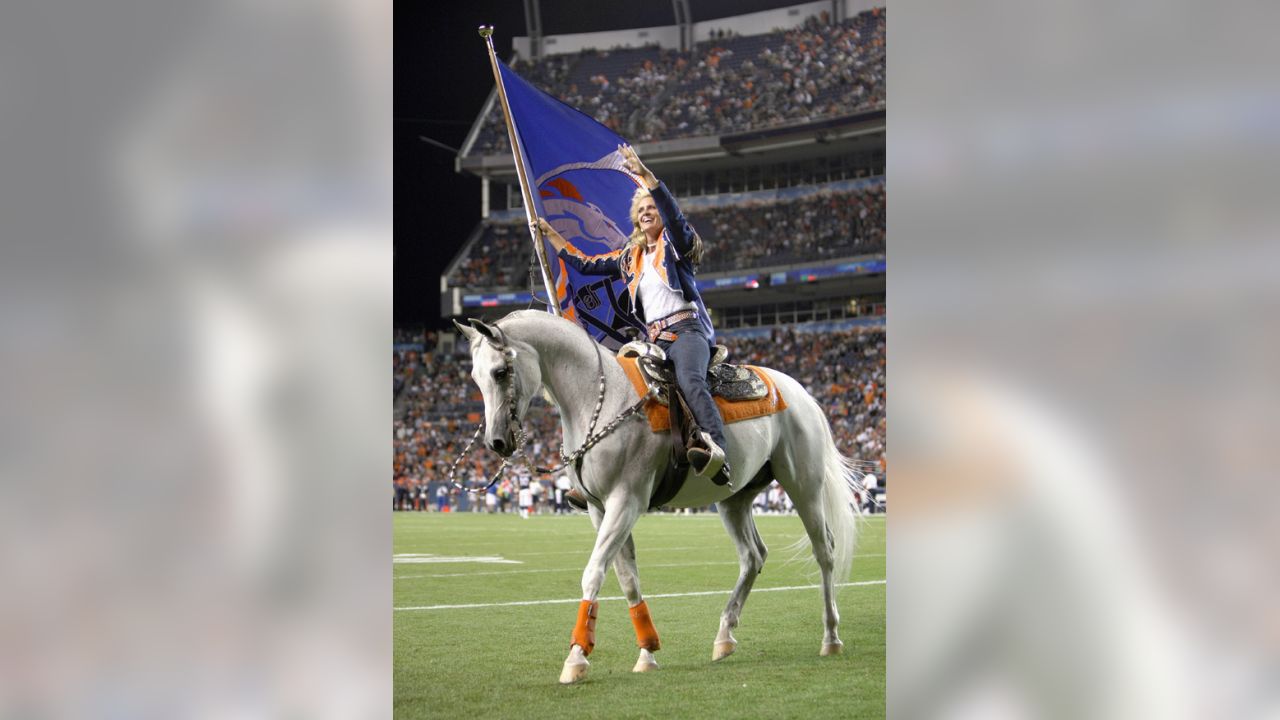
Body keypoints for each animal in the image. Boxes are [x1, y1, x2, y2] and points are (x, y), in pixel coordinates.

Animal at [450, 308, 860, 676]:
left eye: (500, 372)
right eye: (474, 377)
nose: (496, 442)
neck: (600, 400)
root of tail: (800, 392)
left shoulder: (626, 502)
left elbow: (594, 573)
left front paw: (577, 657)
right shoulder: (600, 509)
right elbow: (628, 581)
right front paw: (646, 652)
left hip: (803, 483)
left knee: (824, 551)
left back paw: (831, 636)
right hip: (734, 498)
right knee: (753, 556)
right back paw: (724, 636)